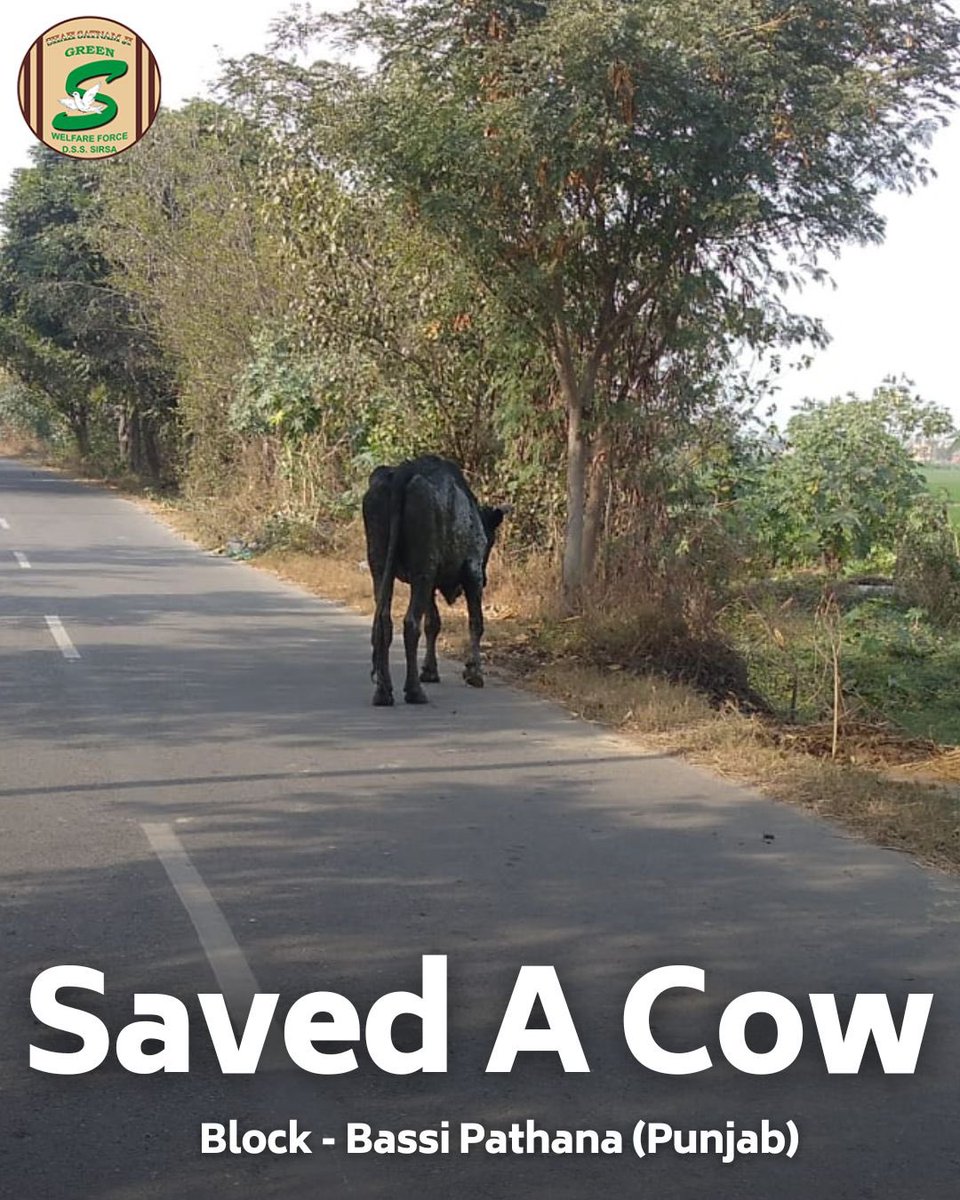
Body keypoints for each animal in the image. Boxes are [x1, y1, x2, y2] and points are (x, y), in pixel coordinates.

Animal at [362, 455, 507, 706]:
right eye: (490, 542)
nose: (488, 579)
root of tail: (401, 473)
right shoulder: (472, 572)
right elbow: (476, 622)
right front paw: (474, 672)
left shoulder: (427, 582)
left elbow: (433, 623)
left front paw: (430, 670)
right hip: (424, 569)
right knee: (410, 623)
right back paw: (414, 691)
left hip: (381, 567)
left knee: (384, 623)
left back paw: (384, 691)